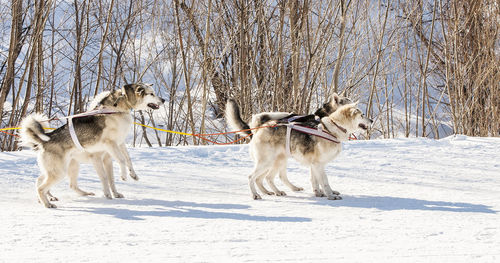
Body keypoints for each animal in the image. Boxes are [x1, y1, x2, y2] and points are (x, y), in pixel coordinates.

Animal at [20, 84, 164, 208]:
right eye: (151, 93)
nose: (163, 99)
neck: (116, 107)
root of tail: (46, 139)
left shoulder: (117, 147)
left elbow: (123, 164)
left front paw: (129, 178)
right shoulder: (109, 146)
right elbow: (120, 162)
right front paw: (122, 177)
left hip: (66, 167)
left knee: (51, 182)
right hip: (59, 171)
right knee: (41, 187)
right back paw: (47, 203)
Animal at [227, 99, 372, 200]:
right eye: (362, 115)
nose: (371, 120)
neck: (332, 129)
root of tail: (260, 127)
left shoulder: (315, 165)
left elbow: (316, 181)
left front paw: (320, 193)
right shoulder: (318, 165)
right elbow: (324, 182)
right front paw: (330, 195)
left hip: (276, 162)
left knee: (267, 178)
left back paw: (274, 191)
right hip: (266, 162)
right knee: (252, 177)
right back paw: (256, 195)